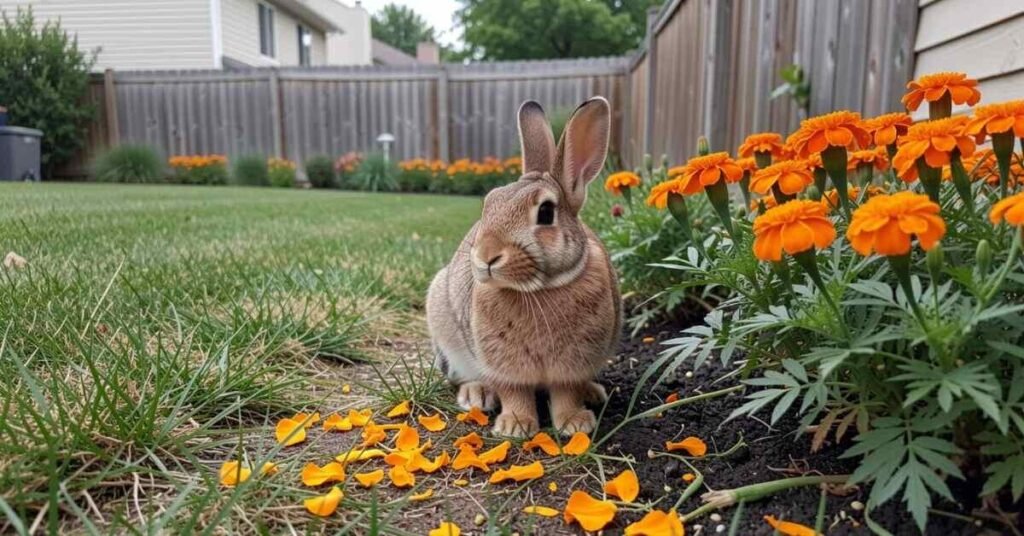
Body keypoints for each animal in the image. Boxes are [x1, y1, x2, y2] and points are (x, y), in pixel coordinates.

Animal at [426, 97, 621, 438]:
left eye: (545, 212)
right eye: (489, 204)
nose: (486, 256)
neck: (540, 290)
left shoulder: (571, 366)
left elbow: (566, 392)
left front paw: (574, 424)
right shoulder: (504, 365)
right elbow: (513, 391)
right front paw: (514, 427)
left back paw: (592, 394)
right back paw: (477, 394)